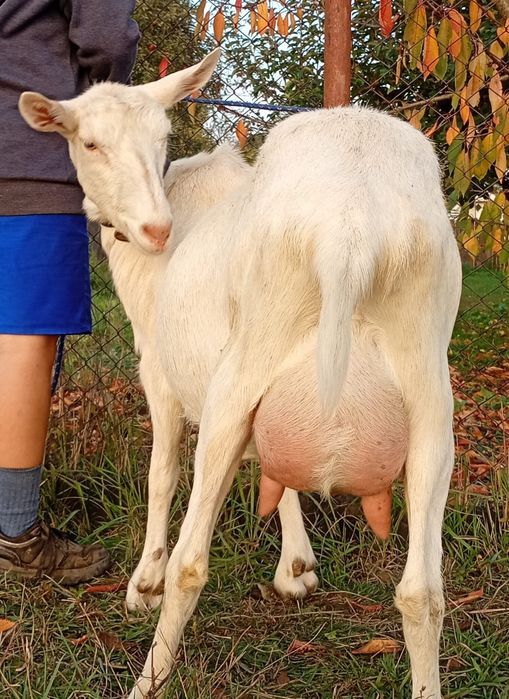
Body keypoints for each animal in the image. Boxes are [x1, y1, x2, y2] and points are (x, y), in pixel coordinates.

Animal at [20, 49, 462, 699]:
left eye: (161, 137)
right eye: (92, 143)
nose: (155, 230)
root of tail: (351, 230)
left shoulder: (159, 370)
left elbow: (162, 472)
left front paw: (142, 583)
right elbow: (276, 467)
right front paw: (297, 567)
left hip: (239, 377)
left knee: (192, 563)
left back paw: (149, 676)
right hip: (429, 396)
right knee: (423, 593)